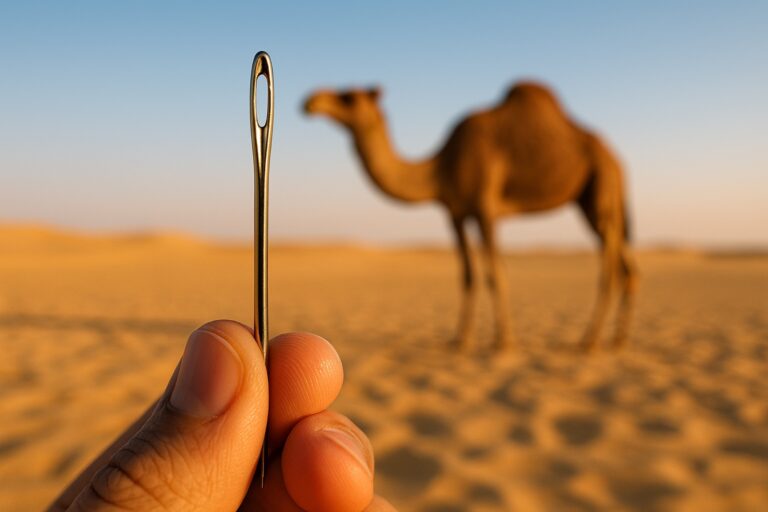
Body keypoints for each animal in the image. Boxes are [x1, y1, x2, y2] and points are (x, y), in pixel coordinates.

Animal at [304, 82, 637, 351]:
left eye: (348, 97)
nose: (309, 101)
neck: (442, 165)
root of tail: (616, 159)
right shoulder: (456, 213)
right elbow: (468, 274)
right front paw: (460, 340)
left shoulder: (485, 207)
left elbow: (495, 273)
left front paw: (504, 342)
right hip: (589, 200)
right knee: (626, 264)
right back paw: (618, 340)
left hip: (600, 185)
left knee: (609, 261)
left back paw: (590, 341)